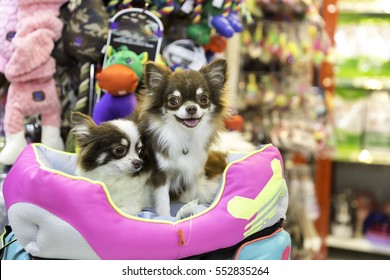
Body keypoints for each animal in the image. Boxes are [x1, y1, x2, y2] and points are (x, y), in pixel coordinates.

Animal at [136, 59, 230, 217]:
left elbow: (192, 197)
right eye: (173, 100)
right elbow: (163, 202)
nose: (191, 108)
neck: (185, 135)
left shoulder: (193, 173)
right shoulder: (161, 174)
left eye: (203, 98)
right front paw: (165, 218)